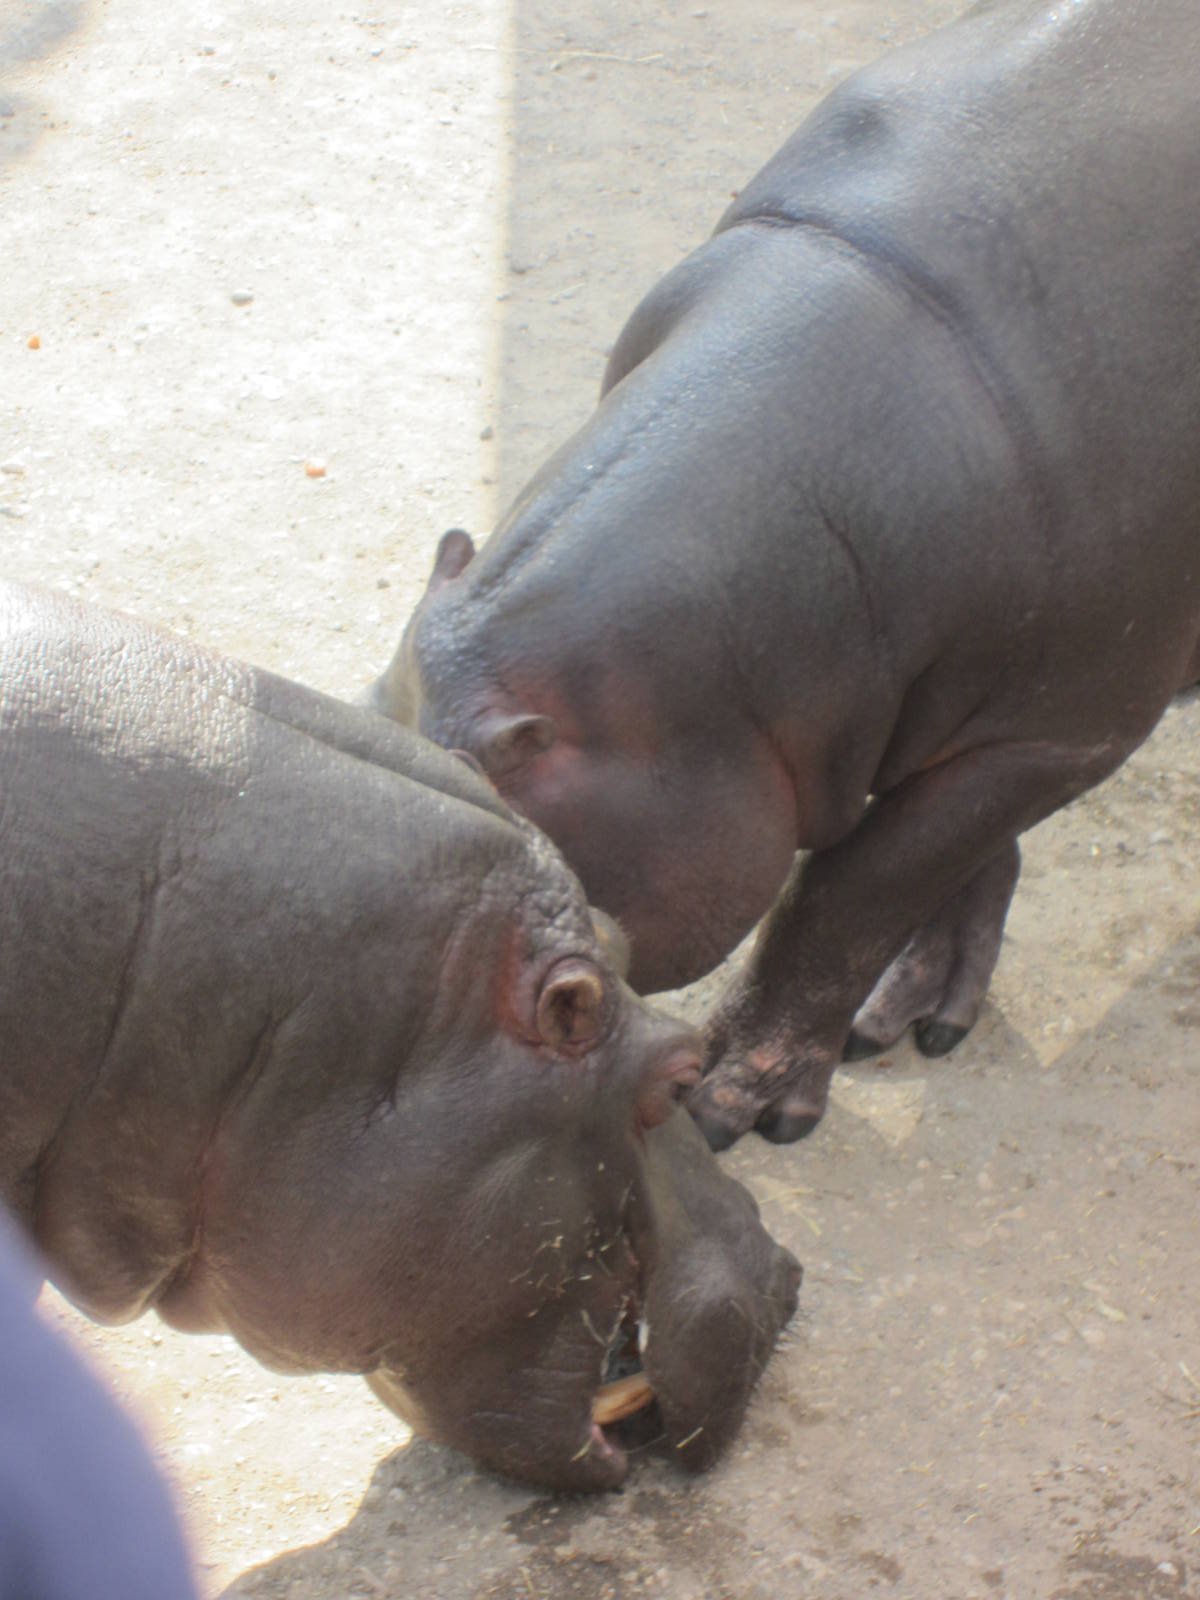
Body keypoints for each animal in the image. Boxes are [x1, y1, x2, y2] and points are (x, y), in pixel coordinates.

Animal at [369, 0, 1200, 1151]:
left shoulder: (1064, 724)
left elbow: (851, 891)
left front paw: (733, 1105)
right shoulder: (962, 717)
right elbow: (955, 852)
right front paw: (907, 1016)